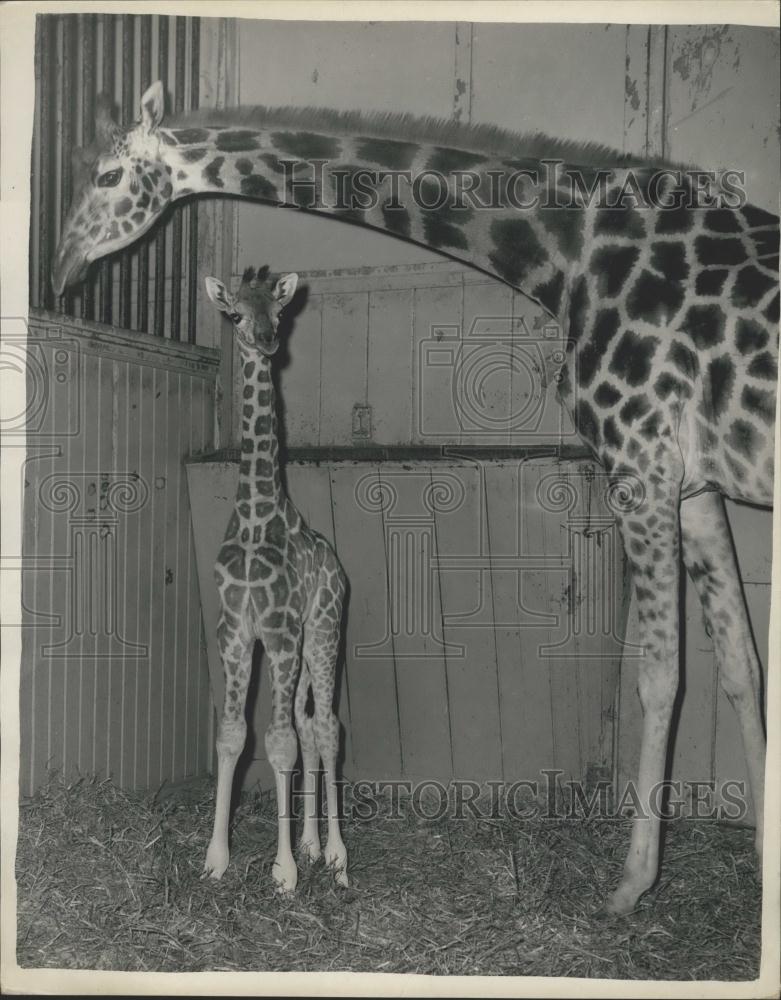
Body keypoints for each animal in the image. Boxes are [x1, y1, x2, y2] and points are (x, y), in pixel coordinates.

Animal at [51, 82, 776, 916]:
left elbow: (660, 674)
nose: (62, 271)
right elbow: (738, 664)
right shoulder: (694, 483)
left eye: (107, 175)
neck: (570, 253)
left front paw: (629, 884)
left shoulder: (641, 454)